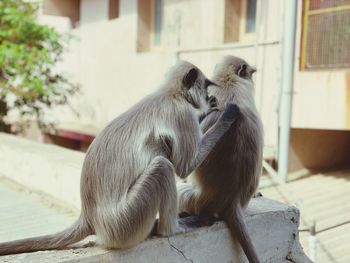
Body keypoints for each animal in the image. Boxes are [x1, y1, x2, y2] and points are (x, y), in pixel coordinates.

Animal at [0, 60, 241, 256]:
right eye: (205, 86)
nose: (209, 98)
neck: (169, 93)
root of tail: (89, 216)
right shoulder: (183, 114)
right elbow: (183, 167)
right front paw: (227, 115)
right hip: (127, 222)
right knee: (163, 166)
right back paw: (172, 228)